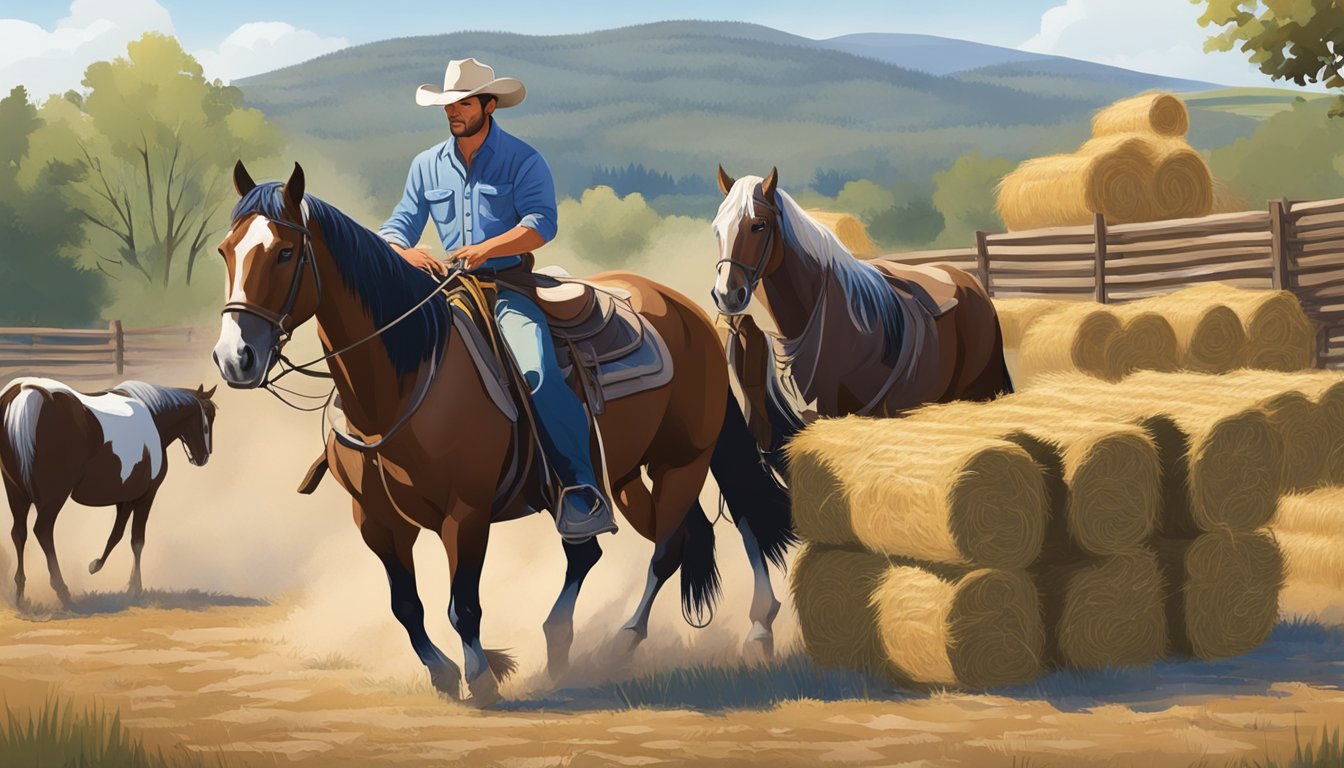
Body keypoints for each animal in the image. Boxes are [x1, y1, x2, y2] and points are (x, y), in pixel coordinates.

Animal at [0, 376, 215, 610]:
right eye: (209, 416)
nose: (203, 457)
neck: (154, 416)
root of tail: (25, 393)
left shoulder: (126, 497)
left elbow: (117, 535)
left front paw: (97, 566)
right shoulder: (147, 495)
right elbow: (136, 540)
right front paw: (135, 589)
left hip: (15, 492)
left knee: (19, 533)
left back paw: (20, 595)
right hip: (54, 496)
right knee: (43, 531)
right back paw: (63, 593)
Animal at [213, 164, 790, 710]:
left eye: (285, 252)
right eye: (225, 250)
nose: (234, 357)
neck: (405, 381)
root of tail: (693, 312)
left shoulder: (465, 514)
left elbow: (462, 604)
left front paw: (482, 677)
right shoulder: (374, 520)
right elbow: (406, 605)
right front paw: (445, 674)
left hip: (684, 459)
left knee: (692, 537)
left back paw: (665, 639)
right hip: (622, 478)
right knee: (623, 544)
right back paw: (562, 644)